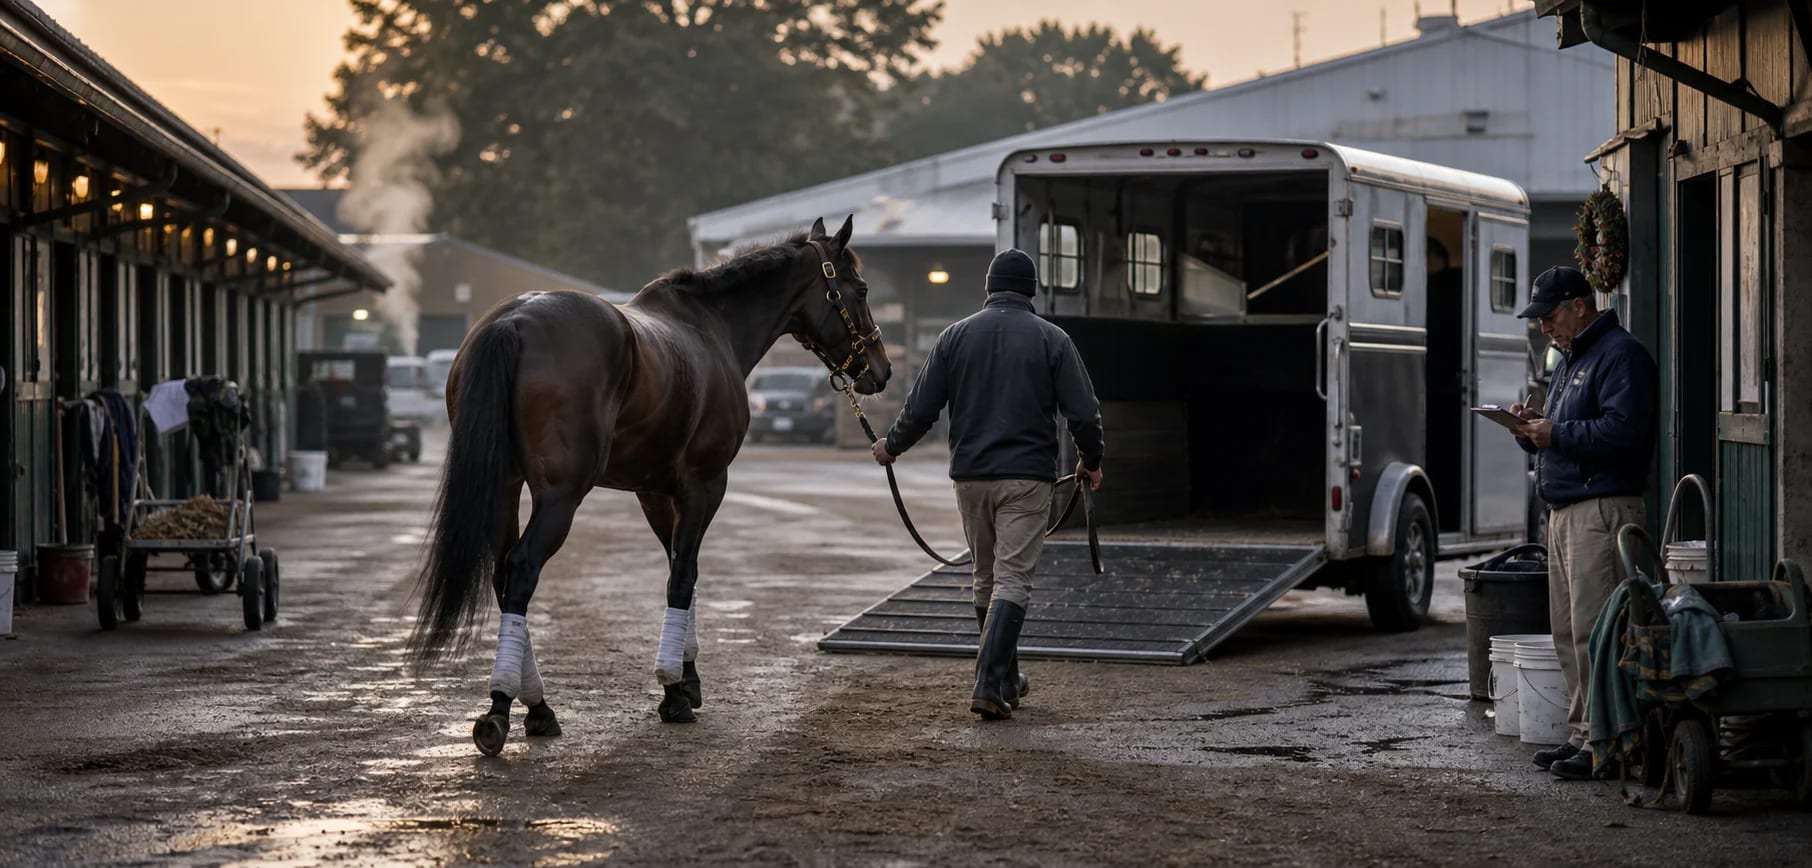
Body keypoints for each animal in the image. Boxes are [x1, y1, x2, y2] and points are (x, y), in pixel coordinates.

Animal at [406, 216, 891, 756]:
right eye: (860, 288)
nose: (881, 370)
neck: (712, 328)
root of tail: (512, 321)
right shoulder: (706, 483)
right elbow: (683, 577)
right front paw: (674, 692)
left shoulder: (655, 492)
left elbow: (681, 569)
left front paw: (687, 678)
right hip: (559, 497)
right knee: (523, 568)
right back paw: (500, 708)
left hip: (506, 489)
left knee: (502, 576)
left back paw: (536, 706)